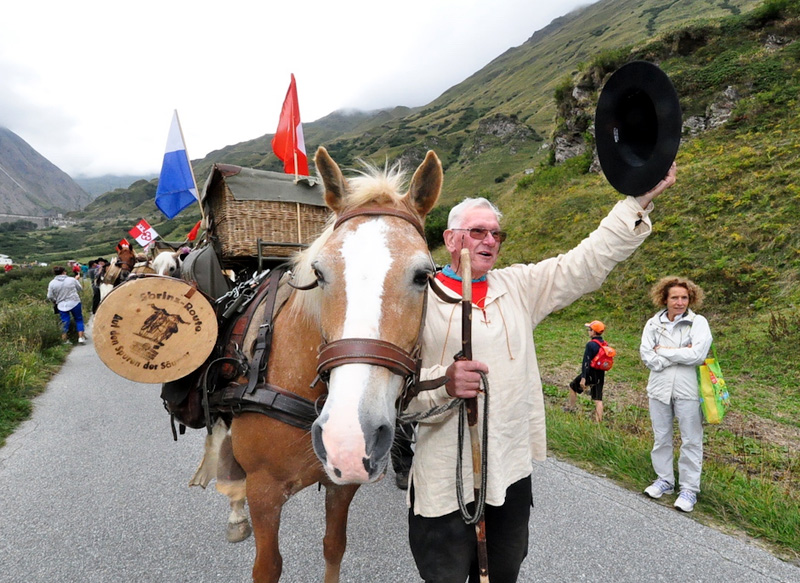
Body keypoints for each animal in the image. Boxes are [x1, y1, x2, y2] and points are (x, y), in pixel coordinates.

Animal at [219, 147, 440, 583]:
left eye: (424, 276)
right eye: (319, 273)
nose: (347, 439)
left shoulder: (342, 487)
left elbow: (334, 547)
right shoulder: (263, 493)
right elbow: (267, 566)